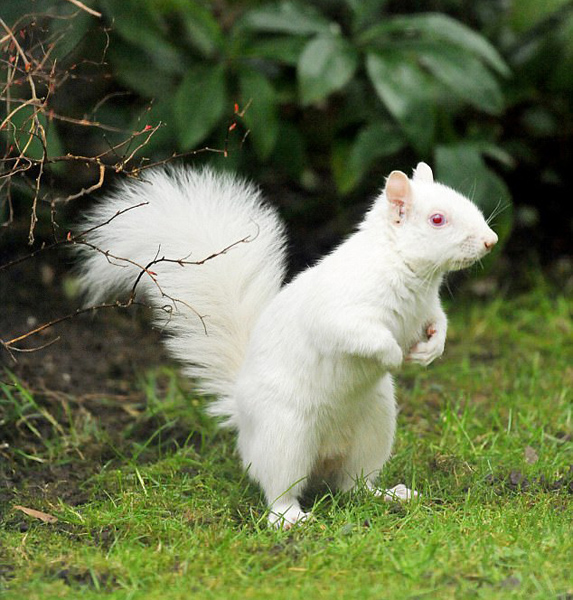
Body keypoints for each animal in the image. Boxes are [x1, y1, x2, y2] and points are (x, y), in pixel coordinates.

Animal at [76, 162, 496, 528]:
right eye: (437, 219)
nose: (491, 241)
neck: (410, 273)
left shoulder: (428, 308)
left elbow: (438, 323)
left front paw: (431, 351)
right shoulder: (342, 312)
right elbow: (361, 335)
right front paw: (393, 356)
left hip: (374, 429)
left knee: (353, 484)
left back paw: (388, 495)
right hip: (285, 437)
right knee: (281, 489)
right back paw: (289, 518)